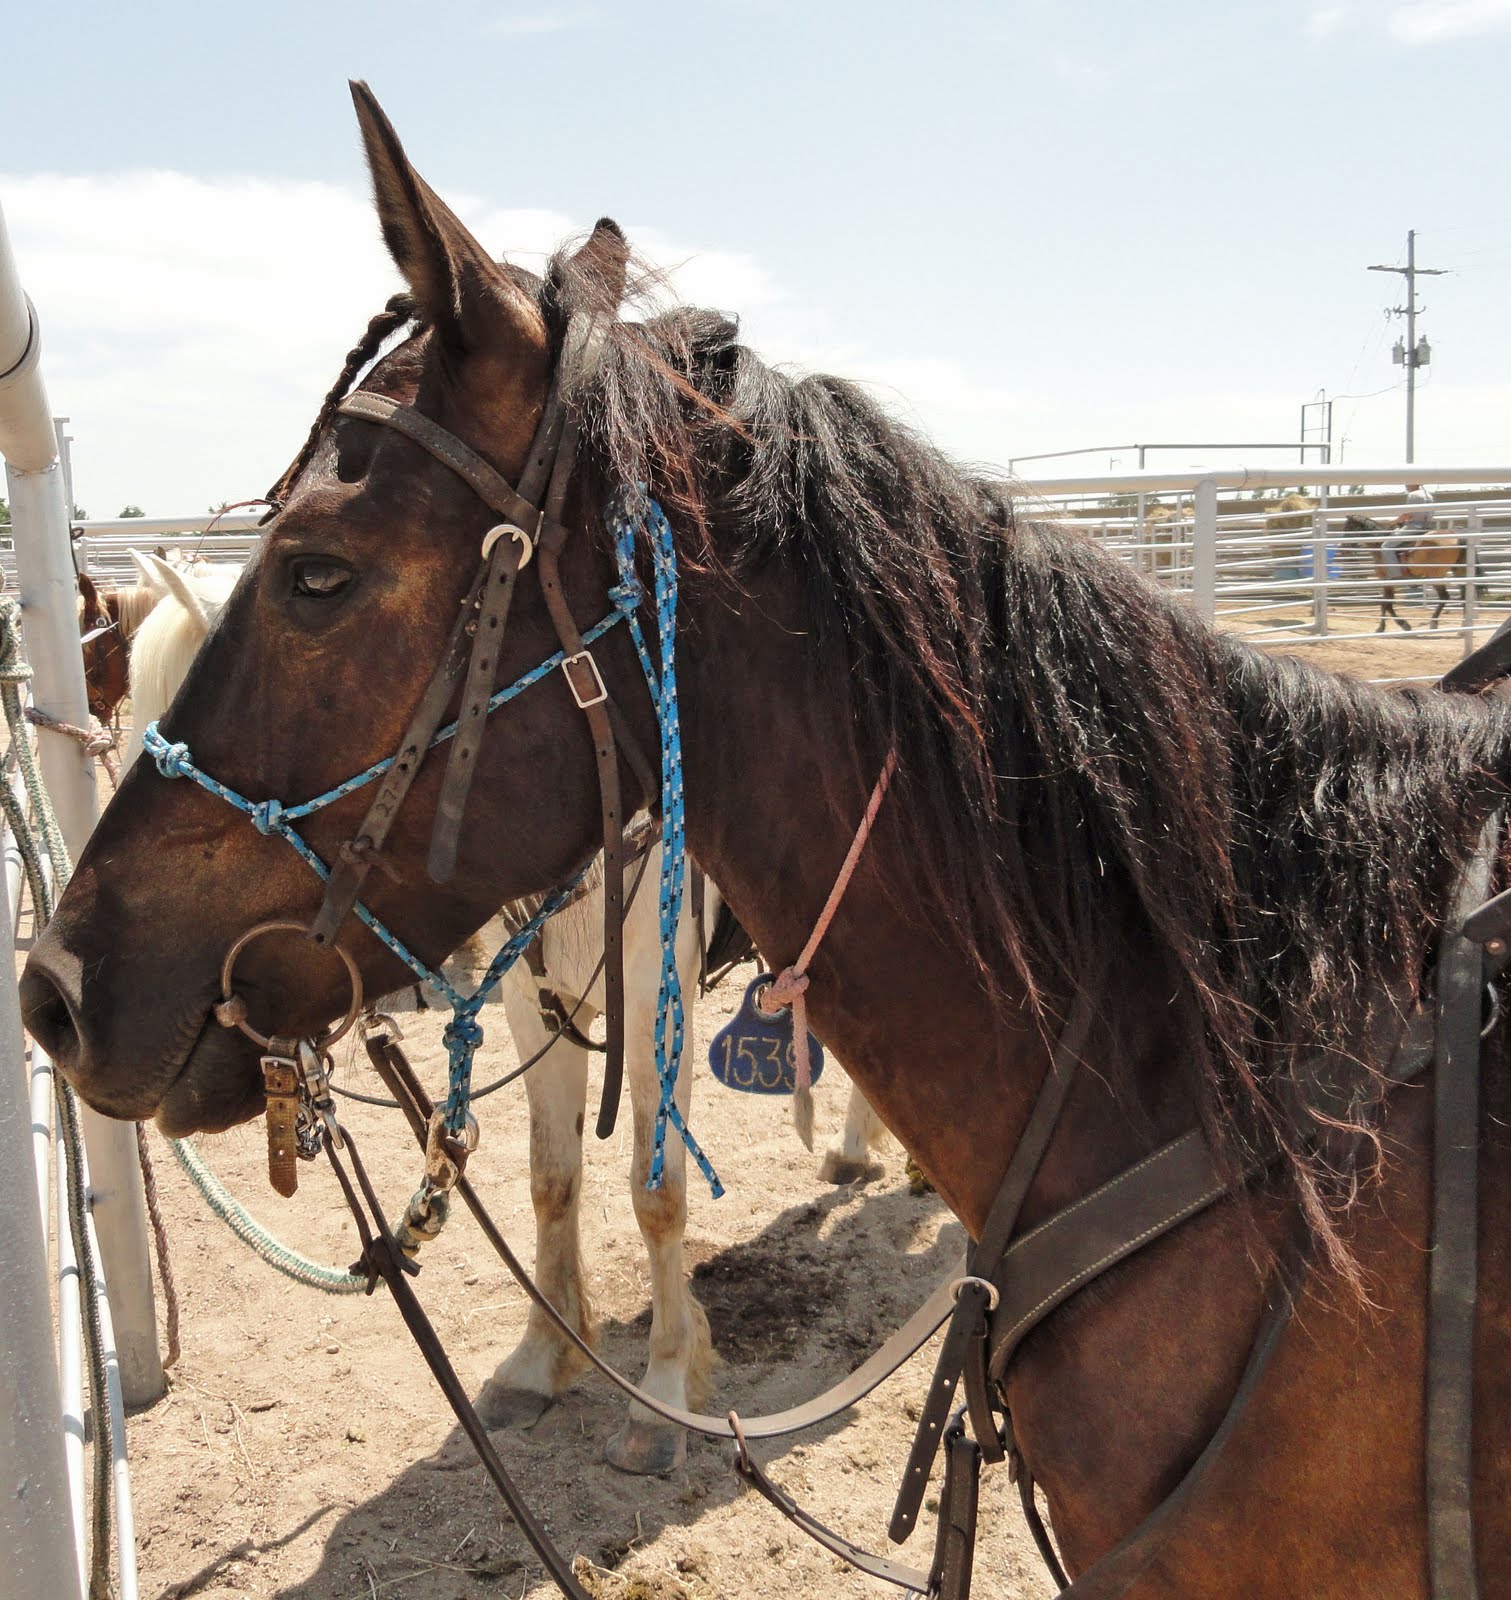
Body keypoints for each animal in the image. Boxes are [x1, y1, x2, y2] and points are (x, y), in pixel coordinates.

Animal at [117, 546, 887, 1472]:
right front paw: (540, 1363)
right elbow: (551, 1179)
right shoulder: (533, 998)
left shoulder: (651, 998)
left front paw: (663, 1394)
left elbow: (657, 1194)